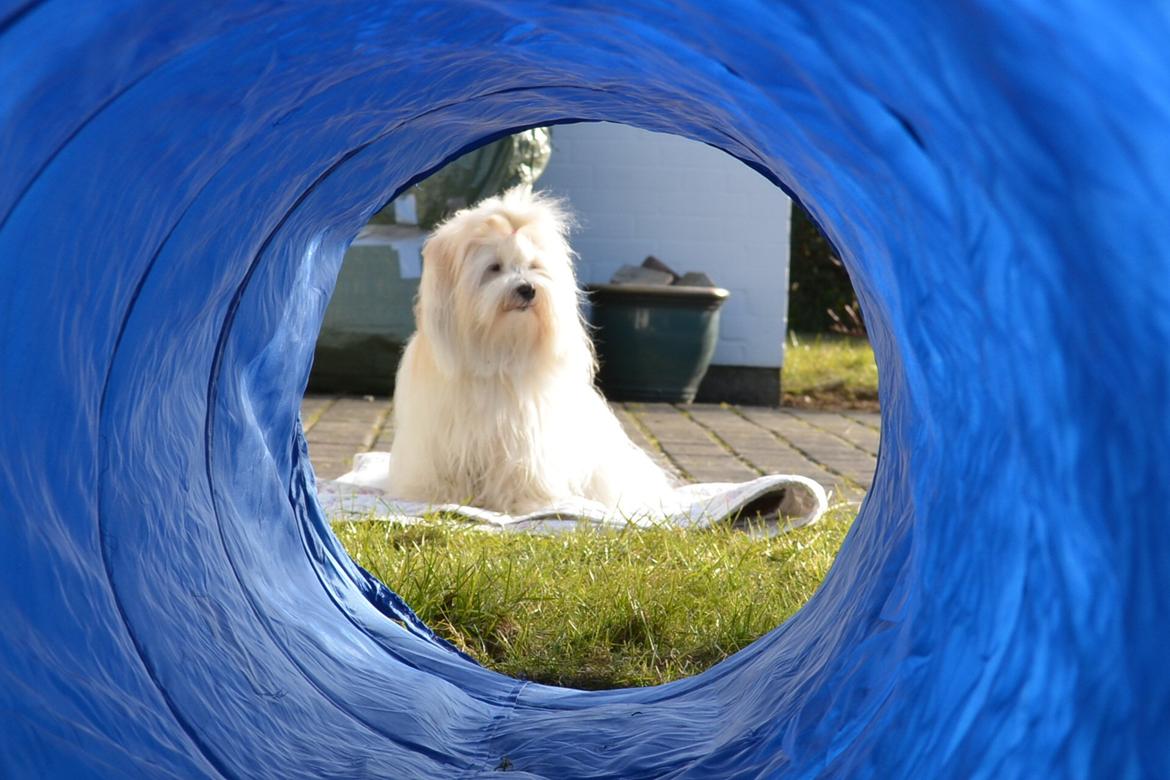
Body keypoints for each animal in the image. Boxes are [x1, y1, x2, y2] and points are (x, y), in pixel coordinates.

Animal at [386, 187, 678, 514]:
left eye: (535, 266)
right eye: (494, 267)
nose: (527, 288)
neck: (499, 350)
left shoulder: (526, 437)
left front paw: (521, 501)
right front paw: (443, 496)